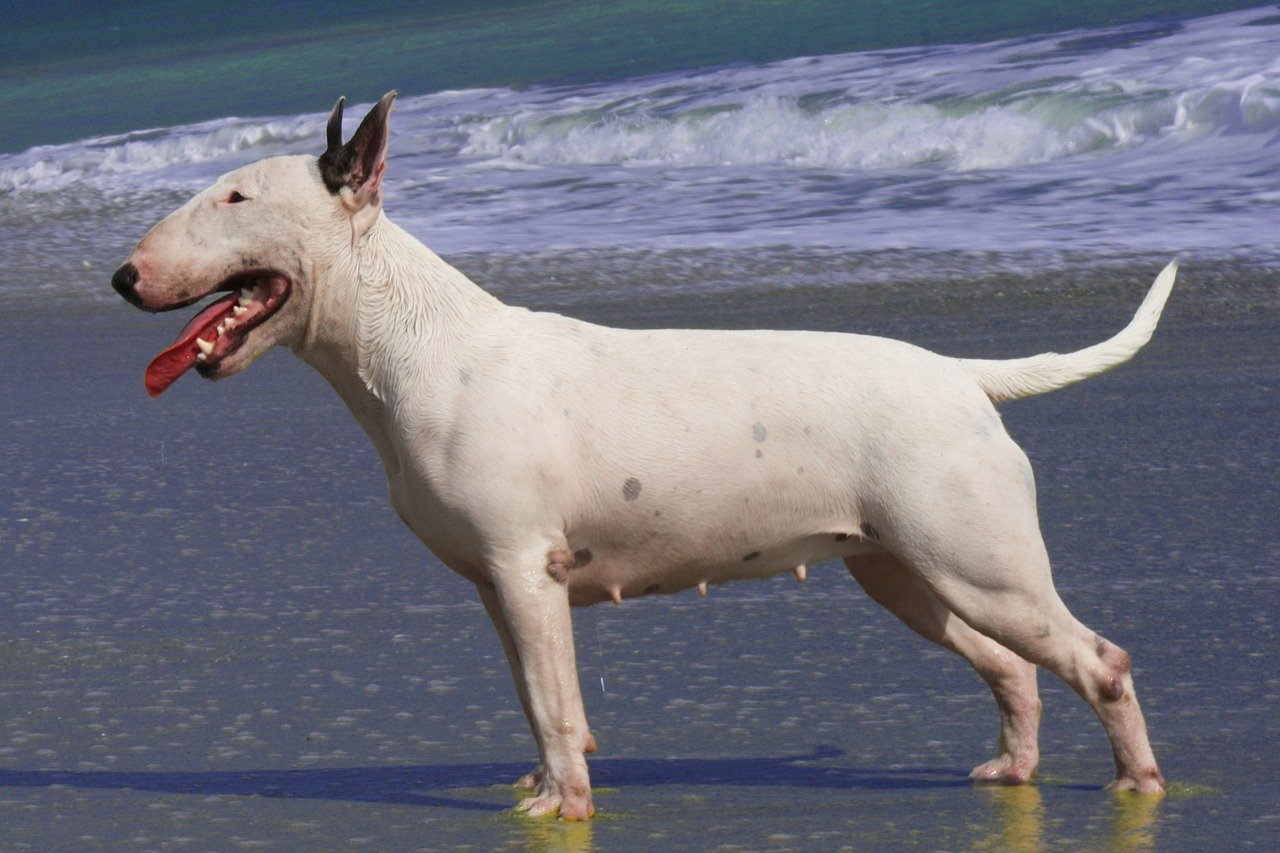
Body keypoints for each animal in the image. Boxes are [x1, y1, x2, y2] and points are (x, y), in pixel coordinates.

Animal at [115, 92, 1172, 819]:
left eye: (236, 195)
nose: (124, 277)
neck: (422, 347)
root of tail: (961, 375)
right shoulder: (500, 586)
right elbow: (540, 697)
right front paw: (549, 785)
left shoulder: (525, 567)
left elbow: (550, 700)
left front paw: (563, 805)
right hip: (906, 574)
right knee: (1012, 668)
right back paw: (1017, 768)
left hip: (979, 564)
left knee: (1099, 661)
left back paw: (1138, 782)